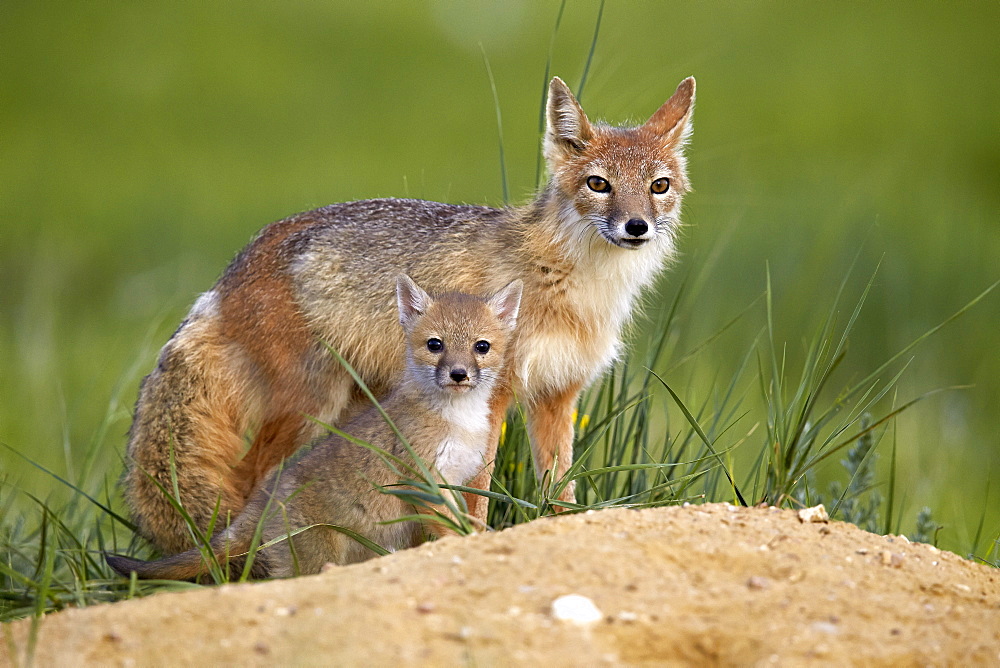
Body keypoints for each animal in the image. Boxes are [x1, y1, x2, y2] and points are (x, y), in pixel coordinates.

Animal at [109, 276, 524, 580]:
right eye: (435, 345)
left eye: (482, 346)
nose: (459, 374)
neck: (458, 420)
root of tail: (260, 503)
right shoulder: (422, 482)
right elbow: (453, 532)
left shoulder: (456, 480)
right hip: (315, 558)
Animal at [125, 75, 696, 552]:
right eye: (599, 184)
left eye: (658, 186)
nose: (637, 226)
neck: (572, 284)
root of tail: (232, 268)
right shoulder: (494, 399)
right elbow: (479, 493)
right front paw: (473, 542)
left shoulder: (558, 396)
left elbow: (561, 494)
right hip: (311, 407)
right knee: (250, 479)